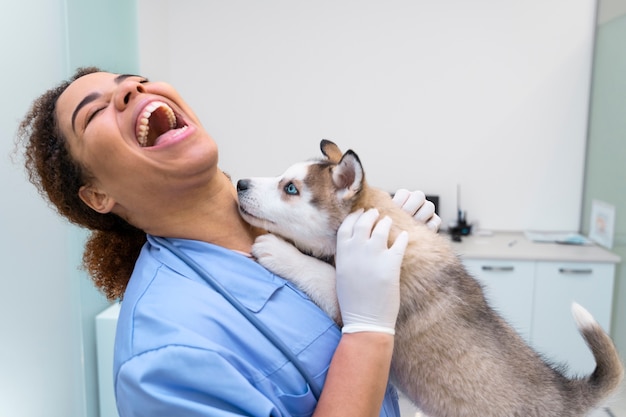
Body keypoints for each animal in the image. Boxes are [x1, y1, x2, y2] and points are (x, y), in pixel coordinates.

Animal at [236, 140, 620, 416]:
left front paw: (278, 251)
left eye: (290, 189)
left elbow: (324, 274)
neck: (386, 227)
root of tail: (565, 394)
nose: (240, 182)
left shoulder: (359, 305)